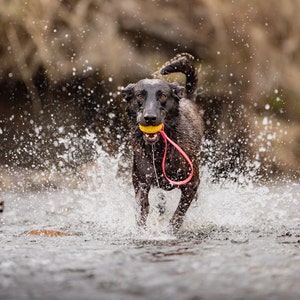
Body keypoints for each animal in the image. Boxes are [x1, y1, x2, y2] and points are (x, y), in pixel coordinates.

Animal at [122, 54, 204, 232]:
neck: (159, 150)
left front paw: (169, 231)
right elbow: (141, 210)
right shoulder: (141, 183)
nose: (150, 118)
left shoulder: (191, 184)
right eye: (139, 95)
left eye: (163, 96)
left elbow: (179, 213)